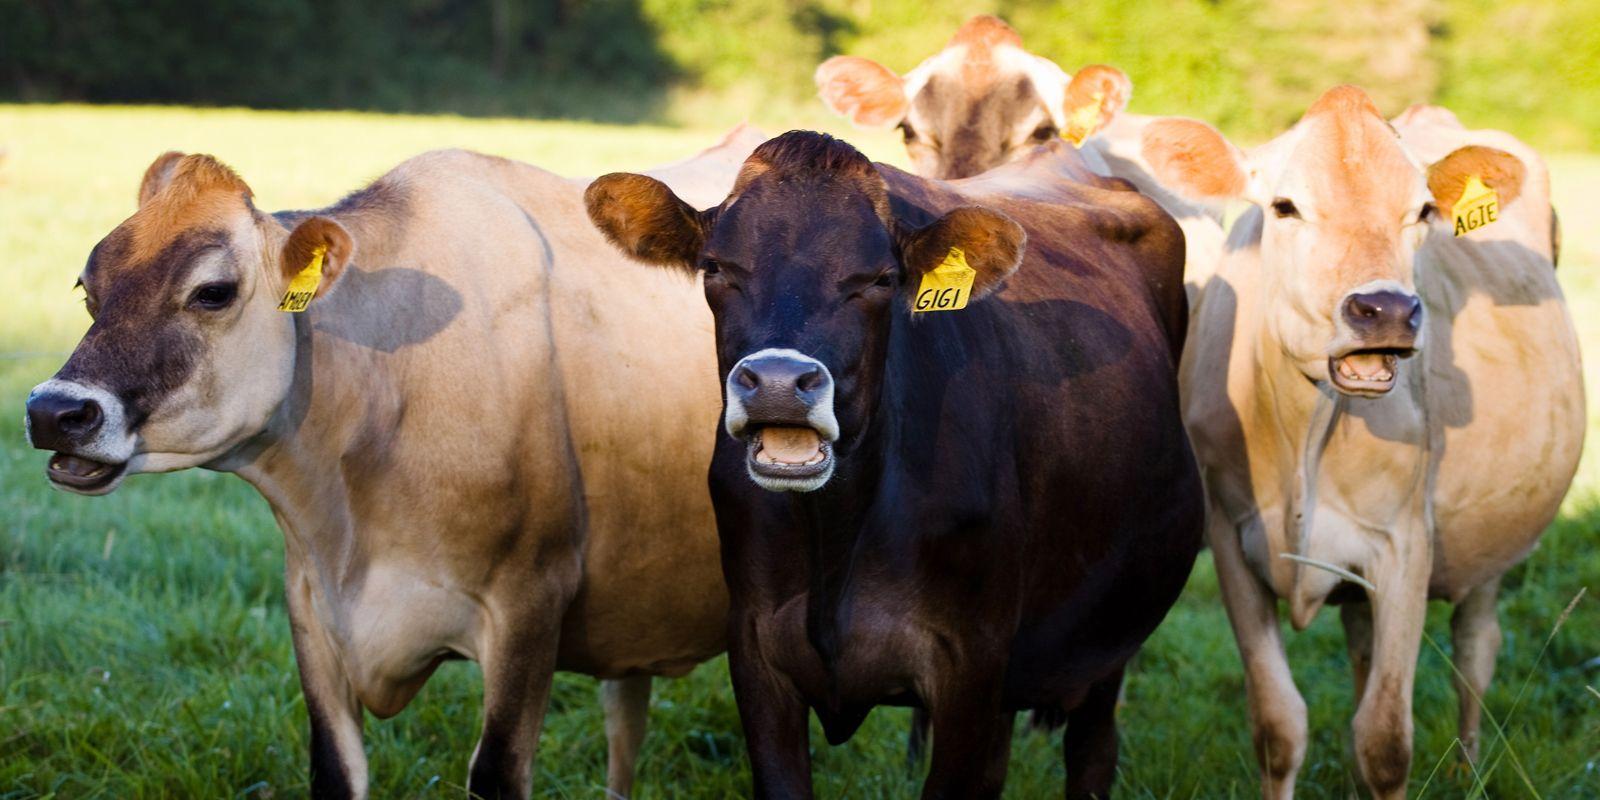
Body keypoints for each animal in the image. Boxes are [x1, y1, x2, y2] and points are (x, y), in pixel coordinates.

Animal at [23, 128, 761, 796]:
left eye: (212, 291)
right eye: (88, 290)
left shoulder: (531, 601)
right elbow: (334, 769)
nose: (52, 410)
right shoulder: (310, 607)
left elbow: (496, 773)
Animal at [585, 132, 1203, 800]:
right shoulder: (754, 651)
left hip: (1109, 631)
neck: (836, 534)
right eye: (716, 268)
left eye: (881, 280)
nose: (777, 384)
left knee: (1092, 749)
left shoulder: (971, 664)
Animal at [1145, 84, 1580, 796]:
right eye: (1284, 206)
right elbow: (1278, 725)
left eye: (1424, 209)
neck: (1300, 433)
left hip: (1497, 540)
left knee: (1475, 651)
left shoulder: (1405, 544)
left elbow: (1385, 741)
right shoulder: (1231, 537)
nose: (1387, 311)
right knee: (1363, 643)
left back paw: (1467, 767)